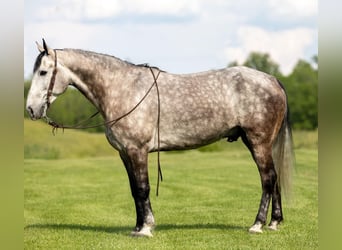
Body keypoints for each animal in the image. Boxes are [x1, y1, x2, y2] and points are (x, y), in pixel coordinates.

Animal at [26, 39, 294, 236]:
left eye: (43, 72)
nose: (31, 109)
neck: (122, 89)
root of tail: (272, 80)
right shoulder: (125, 153)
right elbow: (134, 190)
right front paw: (137, 227)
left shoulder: (138, 150)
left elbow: (142, 188)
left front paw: (146, 228)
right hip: (261, 143)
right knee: (274, 178)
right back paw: (274, 222)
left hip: (258, 142)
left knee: (268, 179)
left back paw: (257, 224)